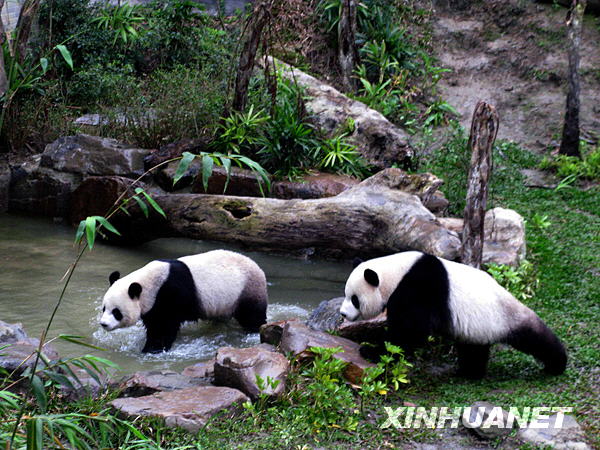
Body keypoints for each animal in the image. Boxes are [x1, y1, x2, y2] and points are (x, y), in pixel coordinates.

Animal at [99, 250, 268, 352]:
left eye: (116, 312)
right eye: (104, 308)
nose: (103, 324)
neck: (149, 284)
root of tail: (257, 266)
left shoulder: (169, 294)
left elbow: (163, 326)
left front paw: (152, 349)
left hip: (248, 289)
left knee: (252, 315)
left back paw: (254, 330)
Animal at [342, 251, 568, 378]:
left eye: (354, 299)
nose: (343, 314)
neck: (396, 272)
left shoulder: (419, 286)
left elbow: (410, 330)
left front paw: (372, 350)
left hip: (505, 316)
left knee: (537, 339)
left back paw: (556, 365)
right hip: (479, 329)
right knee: (473, 350)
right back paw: (469, 373)